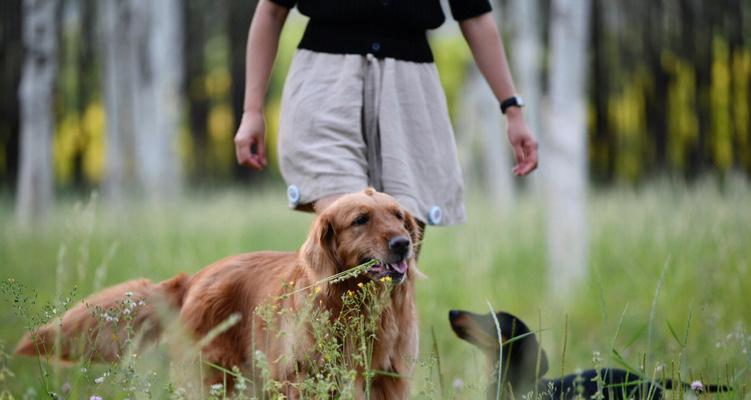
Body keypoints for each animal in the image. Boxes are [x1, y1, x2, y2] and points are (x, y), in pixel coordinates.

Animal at [14, 189, 420, 398]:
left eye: (399, 216)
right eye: (360, 220)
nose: (403, 244)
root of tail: (194, 278)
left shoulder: (388, 379)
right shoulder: (301, 380)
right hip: (214, 380)